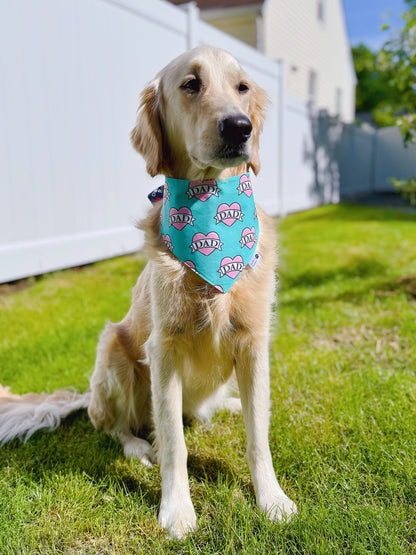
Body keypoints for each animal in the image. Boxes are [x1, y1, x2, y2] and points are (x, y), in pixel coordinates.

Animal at [1, 46, 298, 540]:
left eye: (242, 88)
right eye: (191, 84)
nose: (240, 127)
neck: (211, 209)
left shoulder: (254, 344)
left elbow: (258, 435)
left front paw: (271, 499)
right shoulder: (163, 349)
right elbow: (175, 444)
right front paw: (176, 510)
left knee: (203, 412)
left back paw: (227, 404)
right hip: (113, 352)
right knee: (118, 427)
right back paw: (138, 446)